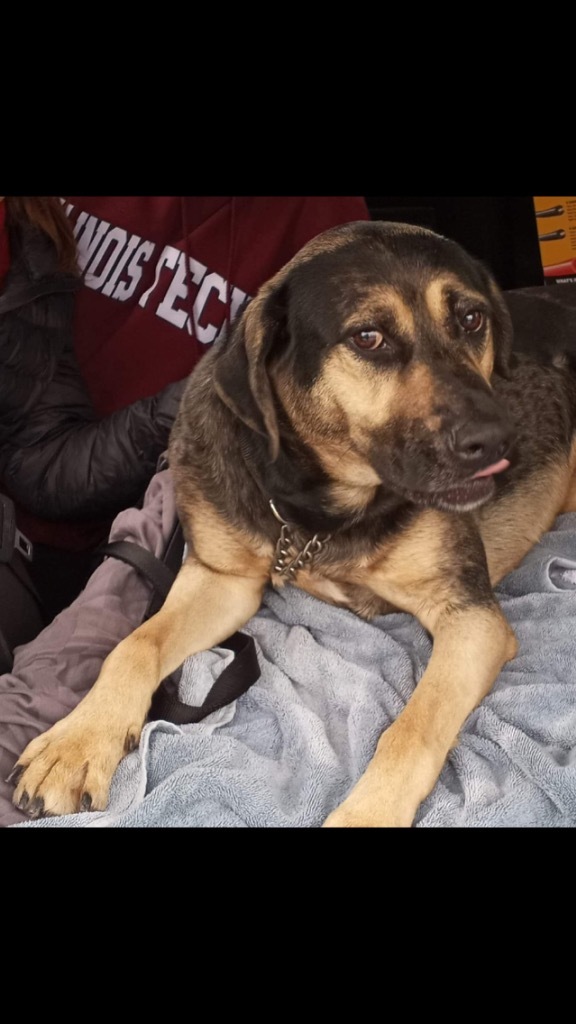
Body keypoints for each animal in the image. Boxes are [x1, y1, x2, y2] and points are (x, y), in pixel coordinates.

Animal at [10, 222, 576, 823]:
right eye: (368, 337)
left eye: (471, 319)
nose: (497, 441)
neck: (317, 506)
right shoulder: (223, 581)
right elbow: (134, 644)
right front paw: (75, 743)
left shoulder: (470, 618)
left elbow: (413, 728)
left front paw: (366, 813)